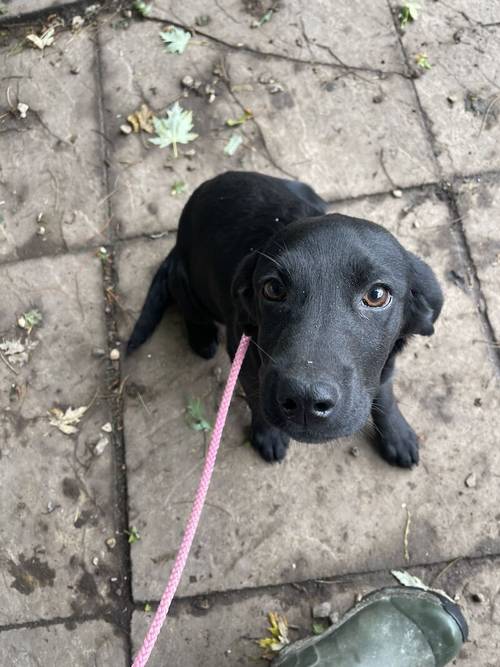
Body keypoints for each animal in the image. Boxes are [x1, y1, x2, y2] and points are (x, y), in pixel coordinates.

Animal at [128, 170, 442, 468]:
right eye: (273, 289)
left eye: (377, 295)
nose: (305, 399)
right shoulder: (245, 357)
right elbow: (256, 398)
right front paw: (268, 434)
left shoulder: (386, 362)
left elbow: (385, 391)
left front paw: (397, 434)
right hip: (187, 282)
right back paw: (202, 338)